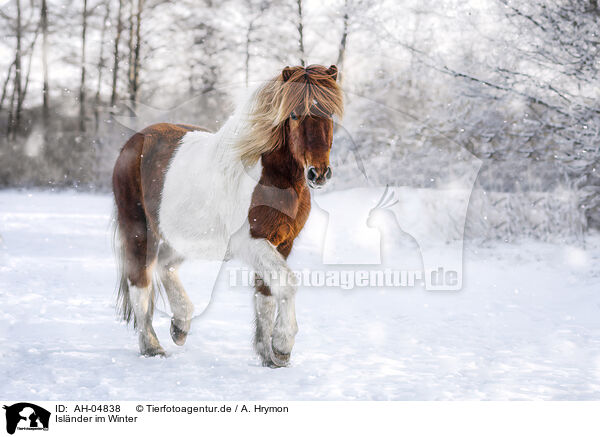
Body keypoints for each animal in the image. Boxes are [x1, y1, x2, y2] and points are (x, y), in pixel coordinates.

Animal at [113, 63, 344, 364]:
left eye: (329, 113)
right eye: (294, 114)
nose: (319, 174)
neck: (271, 178)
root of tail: (134, 142)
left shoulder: (283, 243)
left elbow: (266, 295)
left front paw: (267, 354)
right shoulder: (252, 241)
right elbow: (286, 283)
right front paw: (282, 346)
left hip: (185, 238)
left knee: (165, 265)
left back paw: (180, 324)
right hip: (139, 231)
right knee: (140, 281)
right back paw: (151, 346)